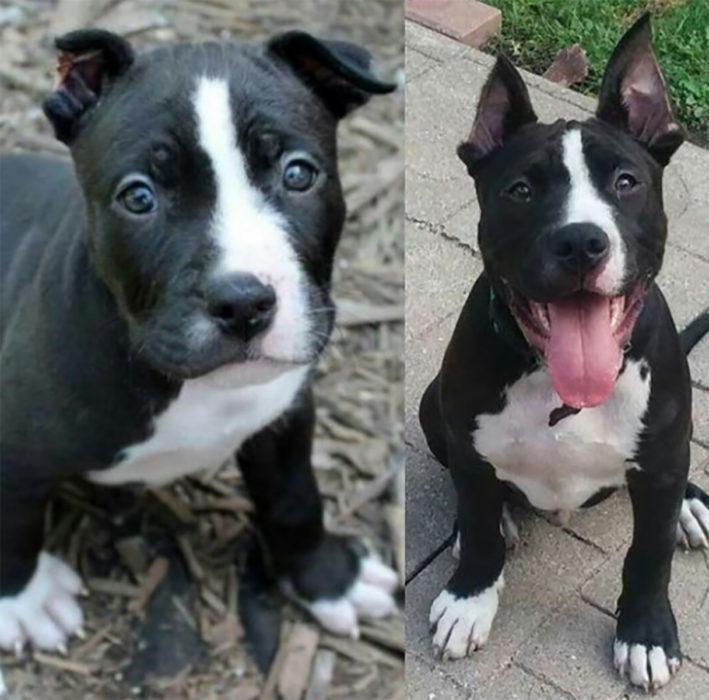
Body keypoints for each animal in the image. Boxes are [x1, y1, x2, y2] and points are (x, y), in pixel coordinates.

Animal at [0, 27, 398, 656]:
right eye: (138, 197)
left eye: (298, 174)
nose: (243, 302)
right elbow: (11, 524)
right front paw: (24, 600)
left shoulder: (285, 417)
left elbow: (295, 497)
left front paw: (328, 577)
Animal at [418, 15, 708, 688]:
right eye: (521, 190)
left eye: (626, 183)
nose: (580, 242)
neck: (556, 382)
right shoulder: (469, 447)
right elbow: (477, 520)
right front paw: (470, 597)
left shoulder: (660, 459)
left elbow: (648, 554)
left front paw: (645, 633)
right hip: (430, 406)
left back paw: (689, 506)